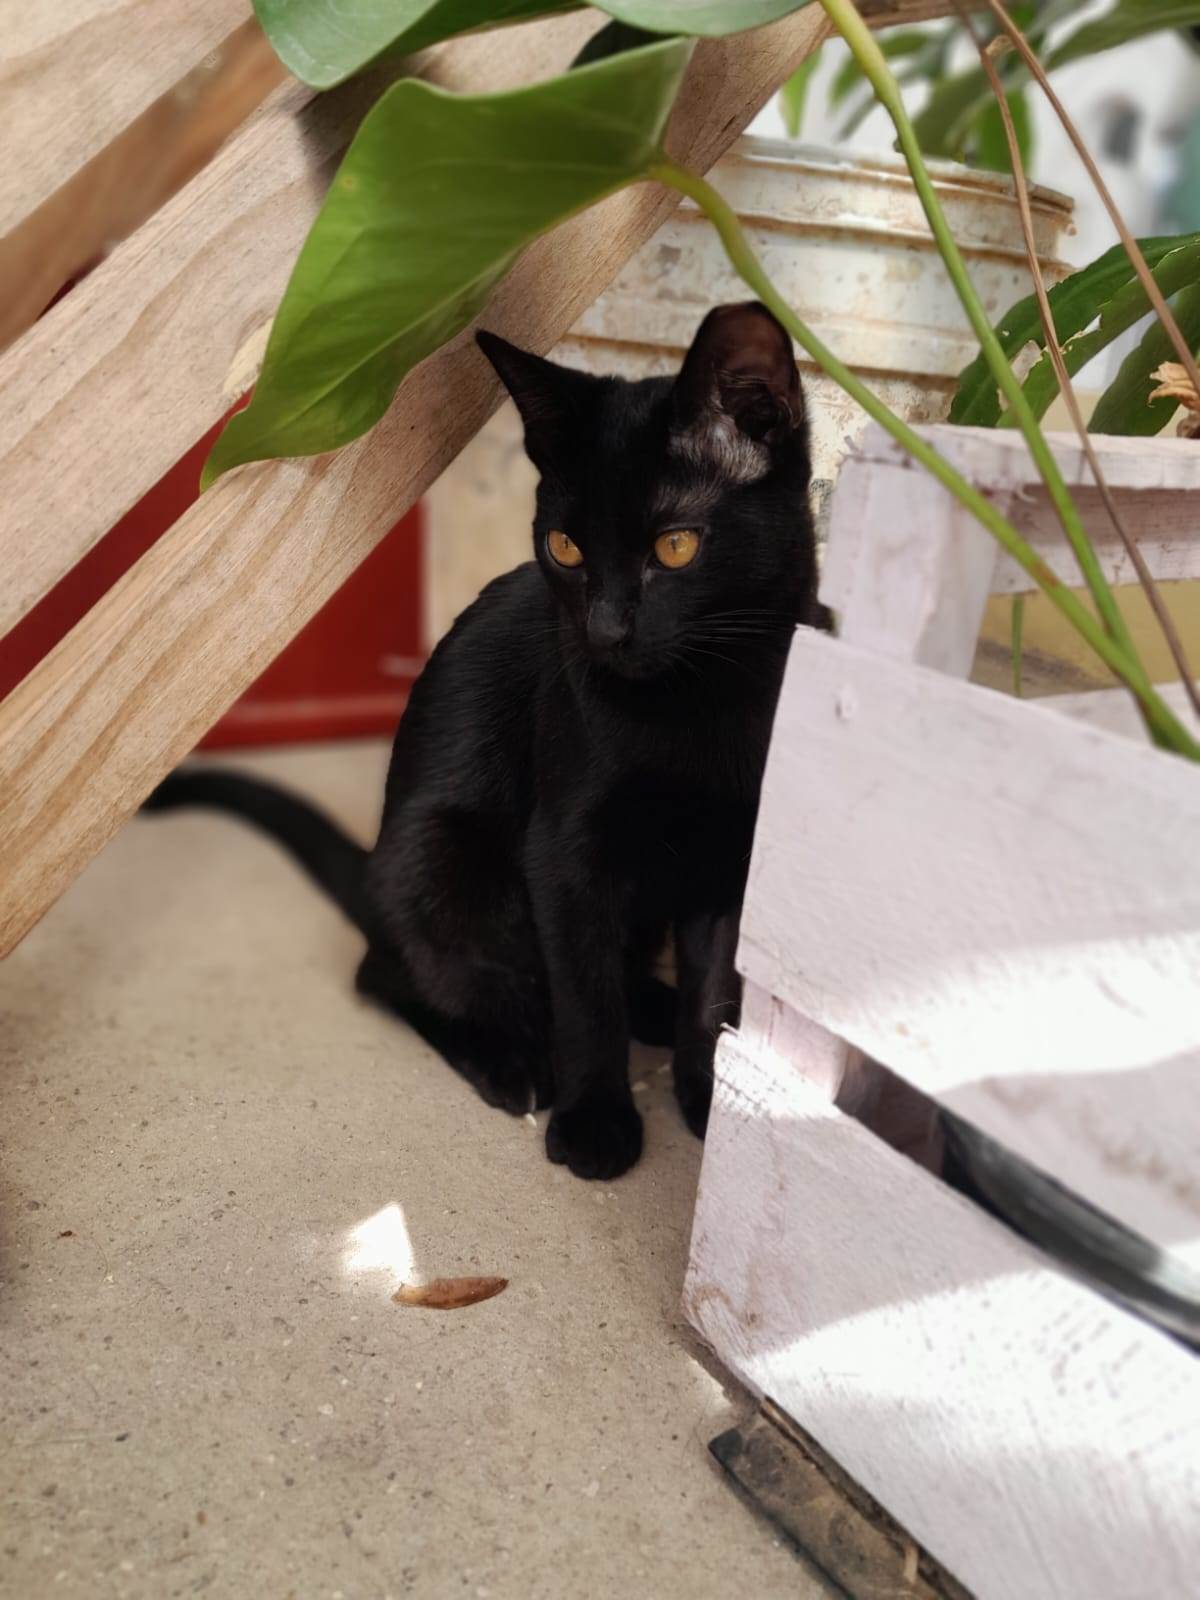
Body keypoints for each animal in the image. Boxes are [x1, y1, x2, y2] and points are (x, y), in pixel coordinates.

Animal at [145, 300, 823, 1180]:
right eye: (565, 548)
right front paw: (596, 1121)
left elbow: (715, 996)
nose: (605, 631)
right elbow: (584, 1000)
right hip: (446, 860)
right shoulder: (562, 852)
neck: (702, 704)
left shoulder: (735, 854)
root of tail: (374, 866)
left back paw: (650, 1002)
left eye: (676, 547)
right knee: (394, 976)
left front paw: (713, 1103)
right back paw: (510, 1061)